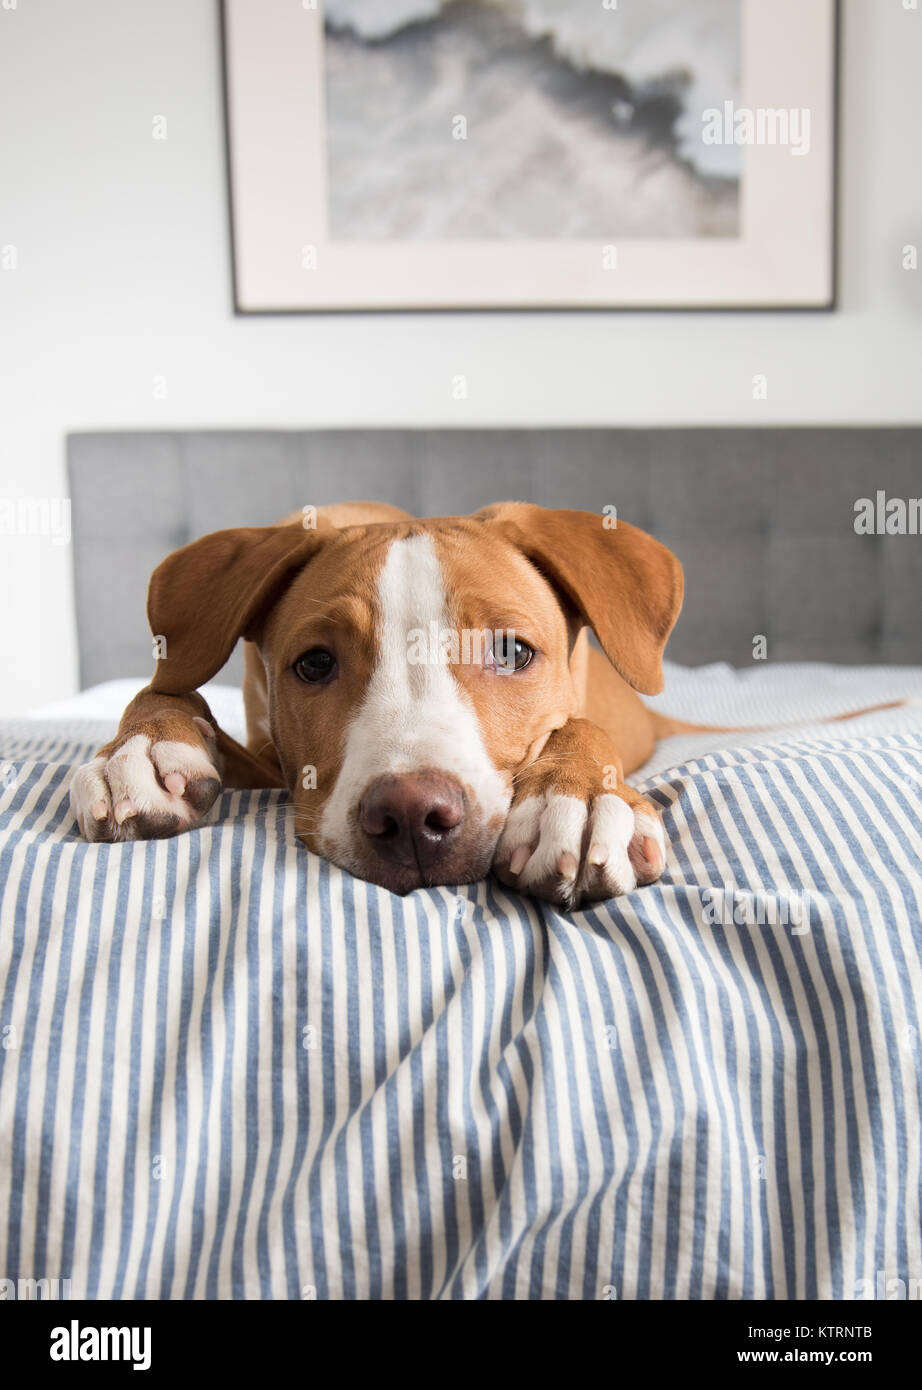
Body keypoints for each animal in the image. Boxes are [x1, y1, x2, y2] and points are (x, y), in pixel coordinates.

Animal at [68, 505, 695, 906]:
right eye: (315, 664)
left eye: (512, 651)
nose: (413, 816)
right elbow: (166, 684)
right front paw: (139, 749)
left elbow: (579, 726)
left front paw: (581, 796)